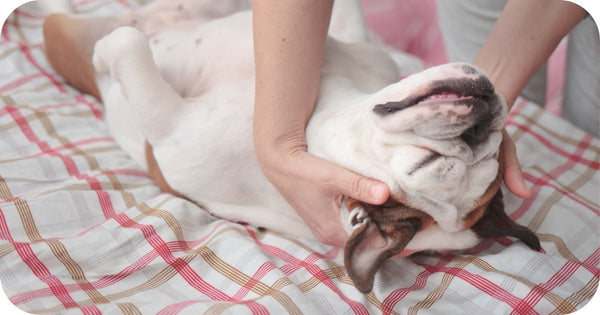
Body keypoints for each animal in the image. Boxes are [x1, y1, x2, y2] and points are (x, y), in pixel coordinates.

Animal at [42, 0, 540, 294]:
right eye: (495, 149)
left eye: (425, 164)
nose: (479, 127)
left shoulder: (171, 129)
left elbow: (128, 47)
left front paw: (108, 56)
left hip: (61, 37)